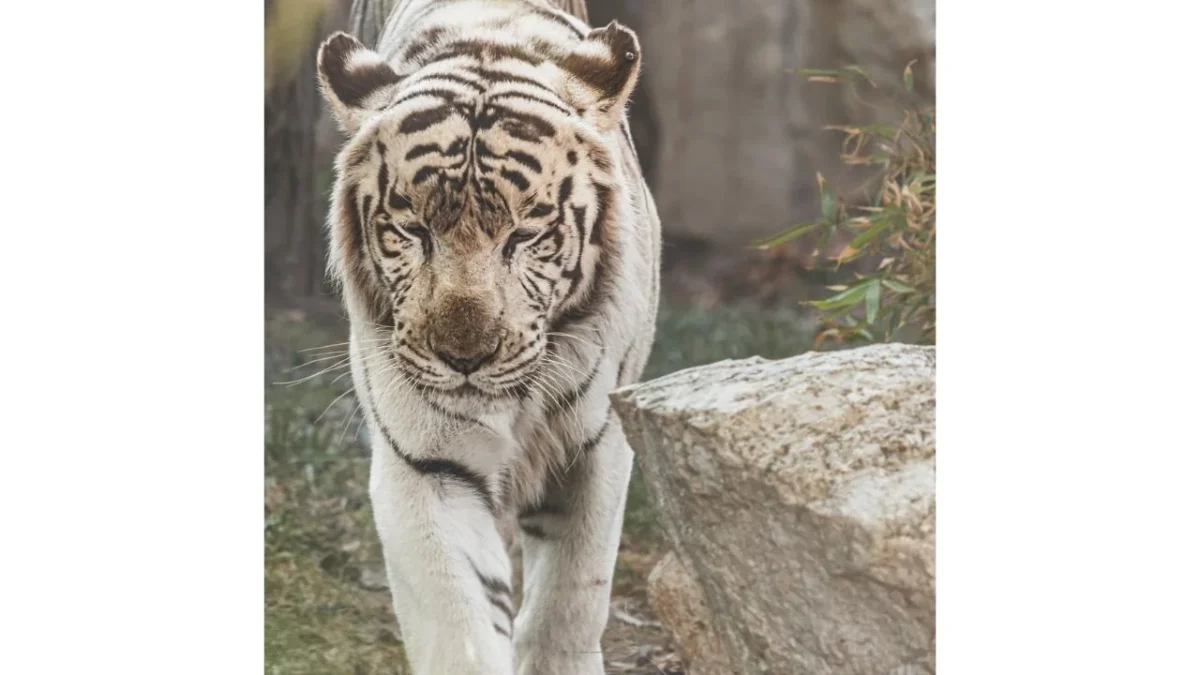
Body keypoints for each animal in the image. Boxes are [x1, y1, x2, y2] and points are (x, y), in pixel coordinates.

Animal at [315, 0, 661, 673]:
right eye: (412, 230)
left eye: (524, 235)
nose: (464, 357)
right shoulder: (426, 463)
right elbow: (459, 619)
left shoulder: (596, 446)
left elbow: (571, 599)